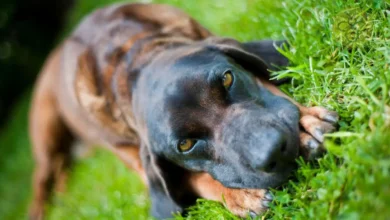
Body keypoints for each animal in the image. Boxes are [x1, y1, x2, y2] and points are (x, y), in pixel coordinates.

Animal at [28, 2, 338, 220]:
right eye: (186, 145)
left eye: (227, 79)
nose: (274, 150)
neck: (130, 57)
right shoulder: (138, 161)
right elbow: (196, 178)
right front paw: (240, 196)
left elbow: (268, 83)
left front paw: (306, 124)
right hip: (46, 134)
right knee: (42, 176)